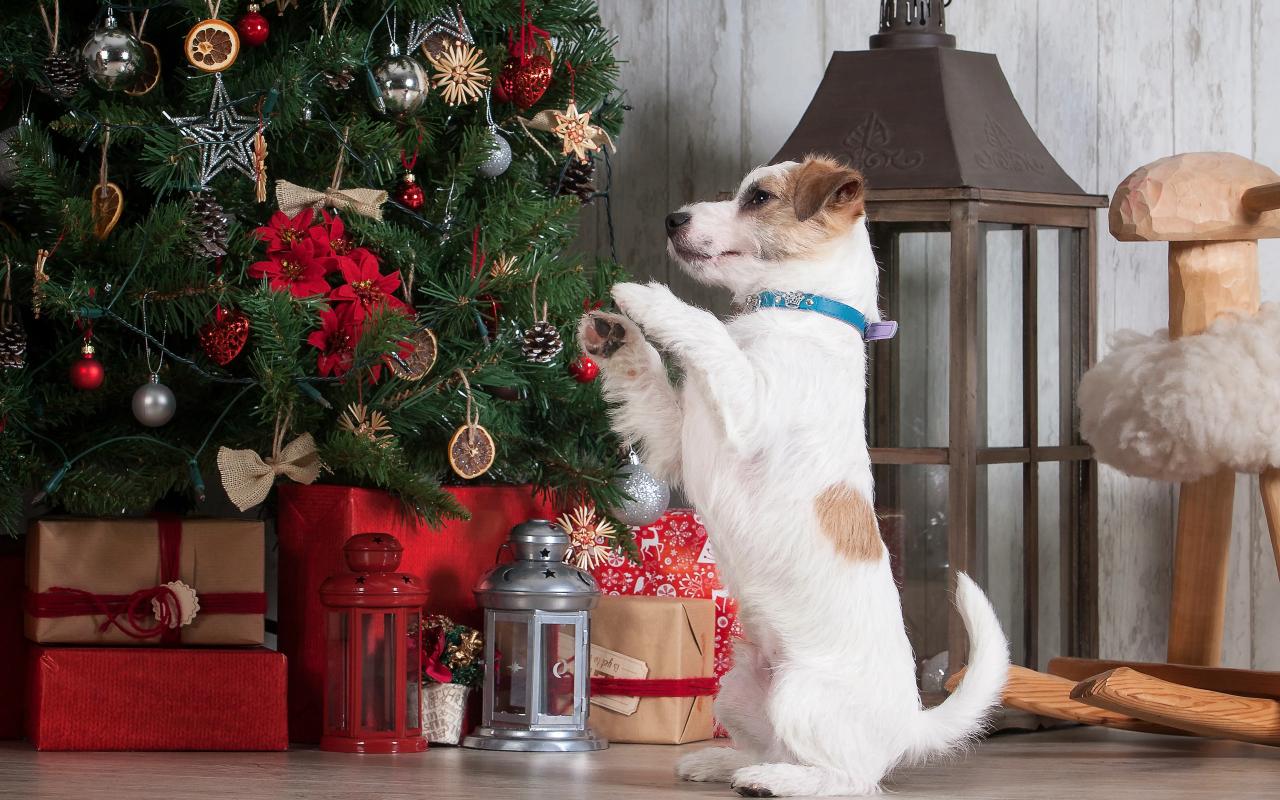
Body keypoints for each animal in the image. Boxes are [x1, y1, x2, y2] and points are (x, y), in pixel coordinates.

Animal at [581, 154, 1008, 793]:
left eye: (758, 197)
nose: (672, 218)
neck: (792, 310)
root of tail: (909, 724)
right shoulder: (678, 435)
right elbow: (650, 375)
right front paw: (618, 335)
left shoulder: (748, 407)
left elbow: (706, 329)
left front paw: (648, 299)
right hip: (736, 688)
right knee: (773, 747)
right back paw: (726, 762)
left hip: (801, 695)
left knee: (850, 778)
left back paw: (771, 781)